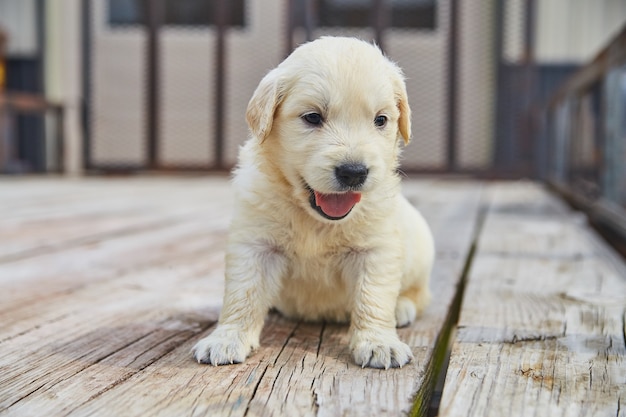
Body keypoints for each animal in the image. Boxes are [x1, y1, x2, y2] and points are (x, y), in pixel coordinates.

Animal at [193, 35, 432, 368]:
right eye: (313, 117)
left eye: (381, 120)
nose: (354, 172)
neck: (313, 217)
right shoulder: (254, 245)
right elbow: (243, 293)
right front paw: (226, 338)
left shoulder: (376, 249)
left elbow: (373, 296)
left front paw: (379, 342)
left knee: (419, 293)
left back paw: (402, 308)